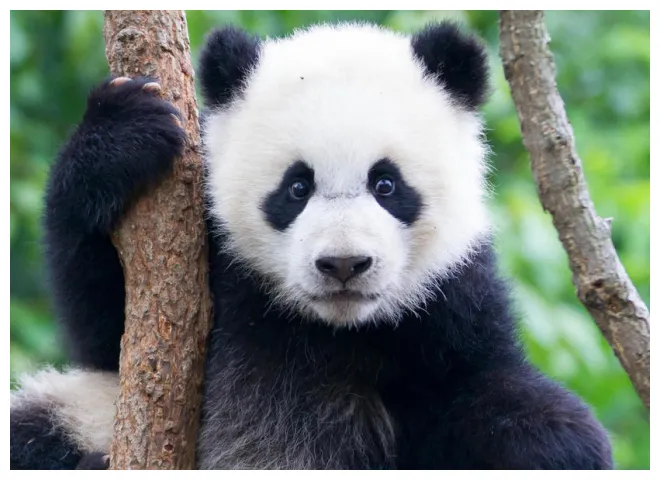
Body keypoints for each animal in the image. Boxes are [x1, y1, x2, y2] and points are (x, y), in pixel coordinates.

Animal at [10, 21, 614, 470]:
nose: (343, 264)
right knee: (35, 431)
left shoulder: (448, 298)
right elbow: (103, 329)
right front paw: (122, 132)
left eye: (386, 184)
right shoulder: (213, 266)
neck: (330, 330)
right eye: (296, 188)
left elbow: (490, 388)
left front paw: (556, 443)